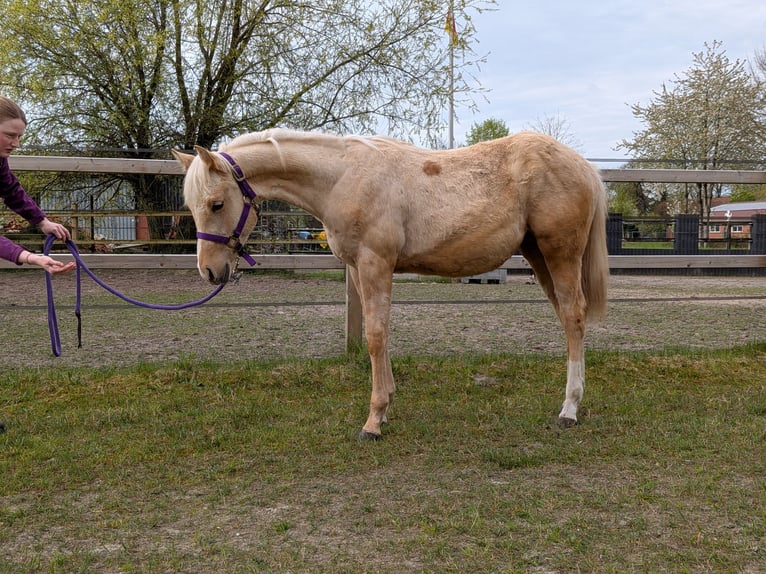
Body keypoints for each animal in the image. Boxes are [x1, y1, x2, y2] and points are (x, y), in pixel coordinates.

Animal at [173, 129, 609, 439]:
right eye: (191, 206)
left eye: (216, 203)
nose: (209, 271)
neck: (342, 177)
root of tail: (583, 165)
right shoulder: (359, 270)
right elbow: (377, 332)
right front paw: (386, 405)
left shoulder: (375, 264)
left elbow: (375, 335)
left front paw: (373, 420)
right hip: (539, 256)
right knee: (568, 318)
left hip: (559, 254)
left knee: (574, 317)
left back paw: (569, 409)